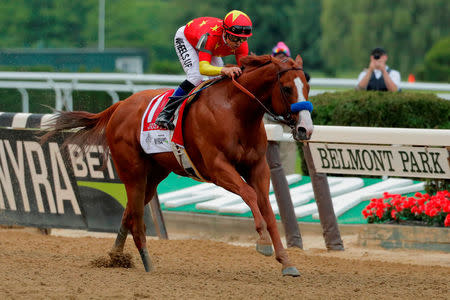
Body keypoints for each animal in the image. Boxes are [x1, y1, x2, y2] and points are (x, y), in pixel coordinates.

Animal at [44, 54, 312, 276]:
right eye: (287, 88)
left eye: (308, 87)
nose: (305, 129)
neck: (235, 111)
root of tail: (120, 105)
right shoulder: (217, 167)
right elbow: (249, 194)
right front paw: (263, 242)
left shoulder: (257, 167)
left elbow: (266, 206)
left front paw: (287, 262)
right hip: (132, 171)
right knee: (136, 217)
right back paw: (146, 262)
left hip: (154, 174)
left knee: (129, 212)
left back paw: (116, 257)